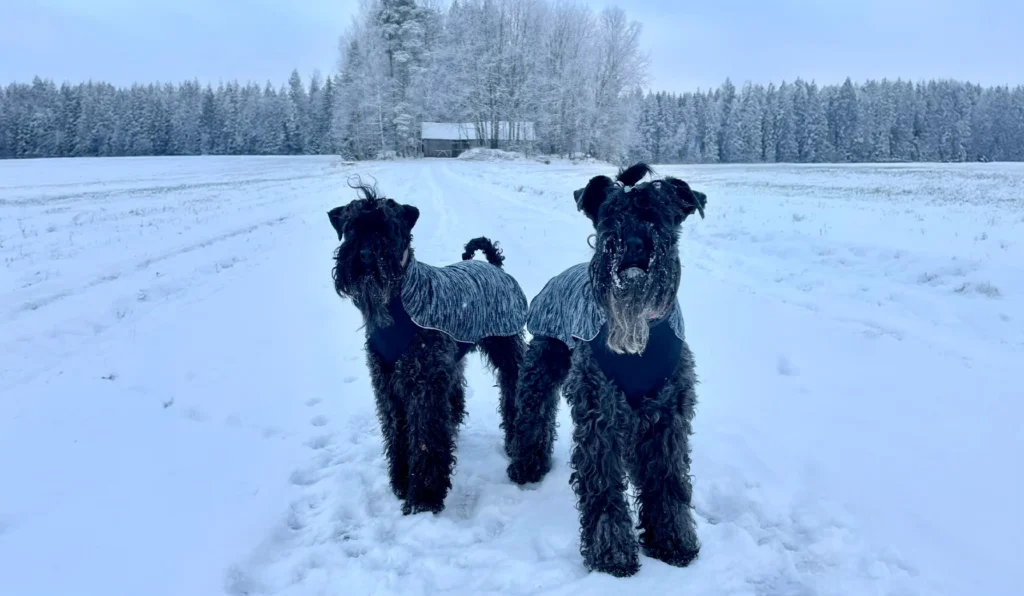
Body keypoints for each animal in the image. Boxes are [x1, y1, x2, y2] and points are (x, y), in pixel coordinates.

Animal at [327, 183, 524, 518]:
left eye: (388, 227)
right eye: (351, 227)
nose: (365, 254)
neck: (397, 302)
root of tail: (494, 265)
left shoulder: (424, 382)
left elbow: (425, 437)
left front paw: (424, 497)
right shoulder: (387, 383)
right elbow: (397, 431)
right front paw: (401, 482)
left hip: (507, 350)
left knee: (514, 392)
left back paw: (516, 442)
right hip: (453, 360)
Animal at [505, 164, 712, 577]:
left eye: (657, 214)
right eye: (611, 215)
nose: (632, 244)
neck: (638, 332)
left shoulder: (669, 416)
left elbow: (667, 479)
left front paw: (673, 541)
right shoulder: (600, 413)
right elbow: (603, 485)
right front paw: (612, 553)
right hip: (542, 366)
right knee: (532, 416)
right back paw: (526, 465)